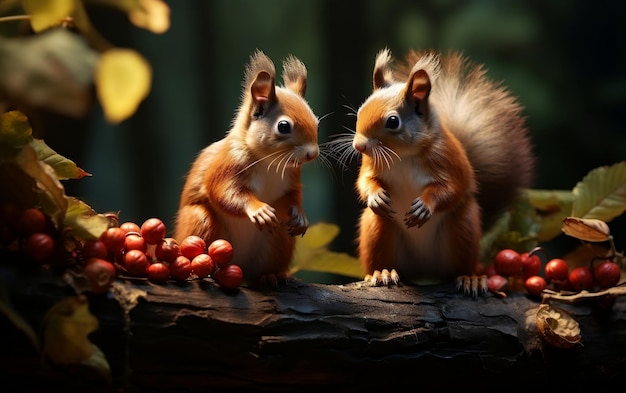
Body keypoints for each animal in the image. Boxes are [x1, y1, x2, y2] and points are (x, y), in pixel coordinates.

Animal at [174, 50, 320, 286]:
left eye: (316, 122)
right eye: (283, 126)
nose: (312, 154)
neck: (270, 162)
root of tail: (240, 267)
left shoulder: (292, 176)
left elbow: (293, 195)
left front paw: (300, 216)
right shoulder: (228, 164)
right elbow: (224, 192)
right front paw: (258, 209)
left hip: (279, 239)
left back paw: (270, 276)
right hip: (199, 221)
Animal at [352, 49, 532, 292]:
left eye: (393, 121)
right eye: (361, 109)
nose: (359, 146)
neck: (403, 156)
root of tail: (424, 271)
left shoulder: (448, 160)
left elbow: (452, 188)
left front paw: (424, 206)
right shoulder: (372, 164)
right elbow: (365, 180)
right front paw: (375, 196)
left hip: (463, 227)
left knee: (457, 267)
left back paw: (470, 278)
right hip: (377, 229)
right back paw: (383, 272)